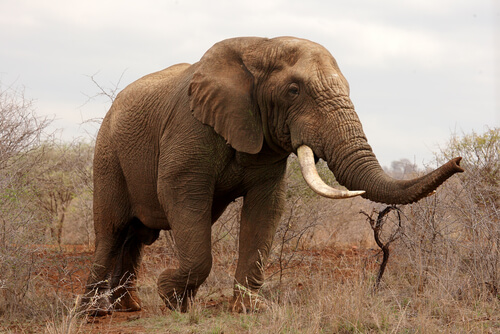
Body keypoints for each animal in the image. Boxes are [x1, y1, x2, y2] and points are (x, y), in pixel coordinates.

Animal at [83, 37, 464, 316]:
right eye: (293, 91)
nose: (460, 162)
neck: (259, 46)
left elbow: (266, 208)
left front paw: (250, 309)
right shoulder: (189, 128)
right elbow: (182, 194)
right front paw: (172, 298)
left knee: (134, 236)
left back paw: (128, 307)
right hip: (107, 154)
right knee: (112, 230)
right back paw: (94, 312)